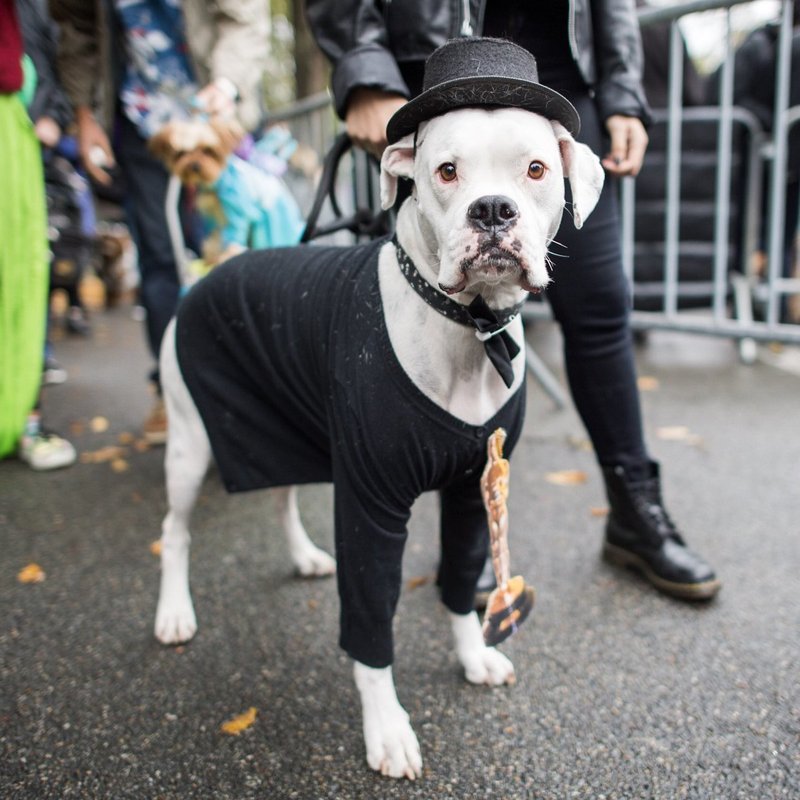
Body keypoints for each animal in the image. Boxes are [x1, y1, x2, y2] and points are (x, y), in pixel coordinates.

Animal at [153, 37, 604, 780]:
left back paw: (304, 556)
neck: (467, 328)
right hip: (190, 445)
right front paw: (387, 728)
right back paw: (173, 612)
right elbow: (370, 626)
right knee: (176, 529)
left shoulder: (471, 493)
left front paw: (473, 655)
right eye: (445, 171)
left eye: (536, 169)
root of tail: (211, 272)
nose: (493, 210)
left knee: (280, 497)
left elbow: (457, 580)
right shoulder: (372, 506)